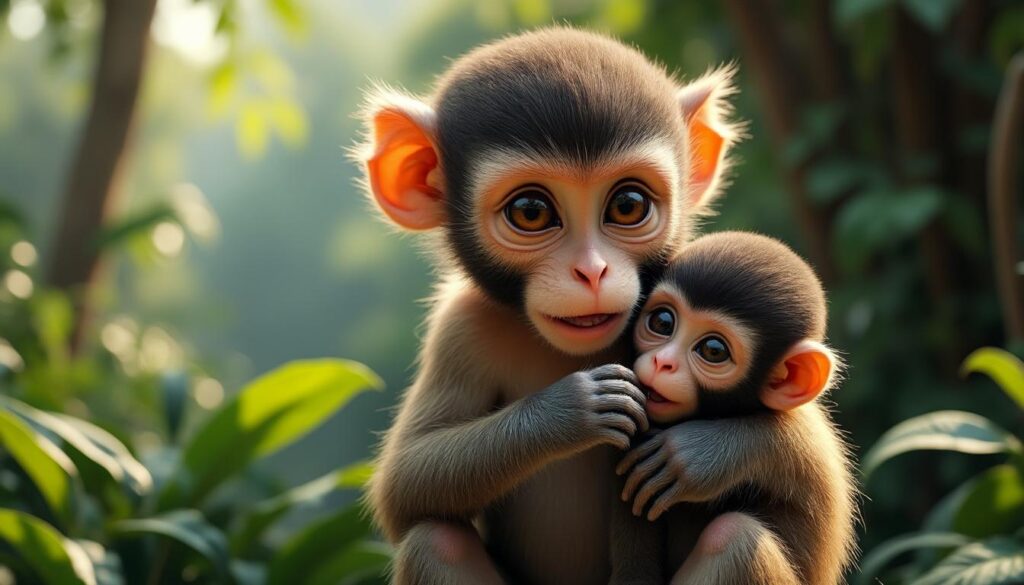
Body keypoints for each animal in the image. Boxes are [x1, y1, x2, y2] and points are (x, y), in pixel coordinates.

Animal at [352, 27, 746, 585]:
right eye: (531, 212)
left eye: (627, 205)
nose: (592, 271)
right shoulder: (460, 326)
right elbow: (405, 488)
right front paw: (573, 408)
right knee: (436, 540)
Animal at [610, 231, 858, 585]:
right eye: (662, 322)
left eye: (713, 350)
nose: (662, 362)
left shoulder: (812, 446)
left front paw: (703, 455)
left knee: (732, 536)